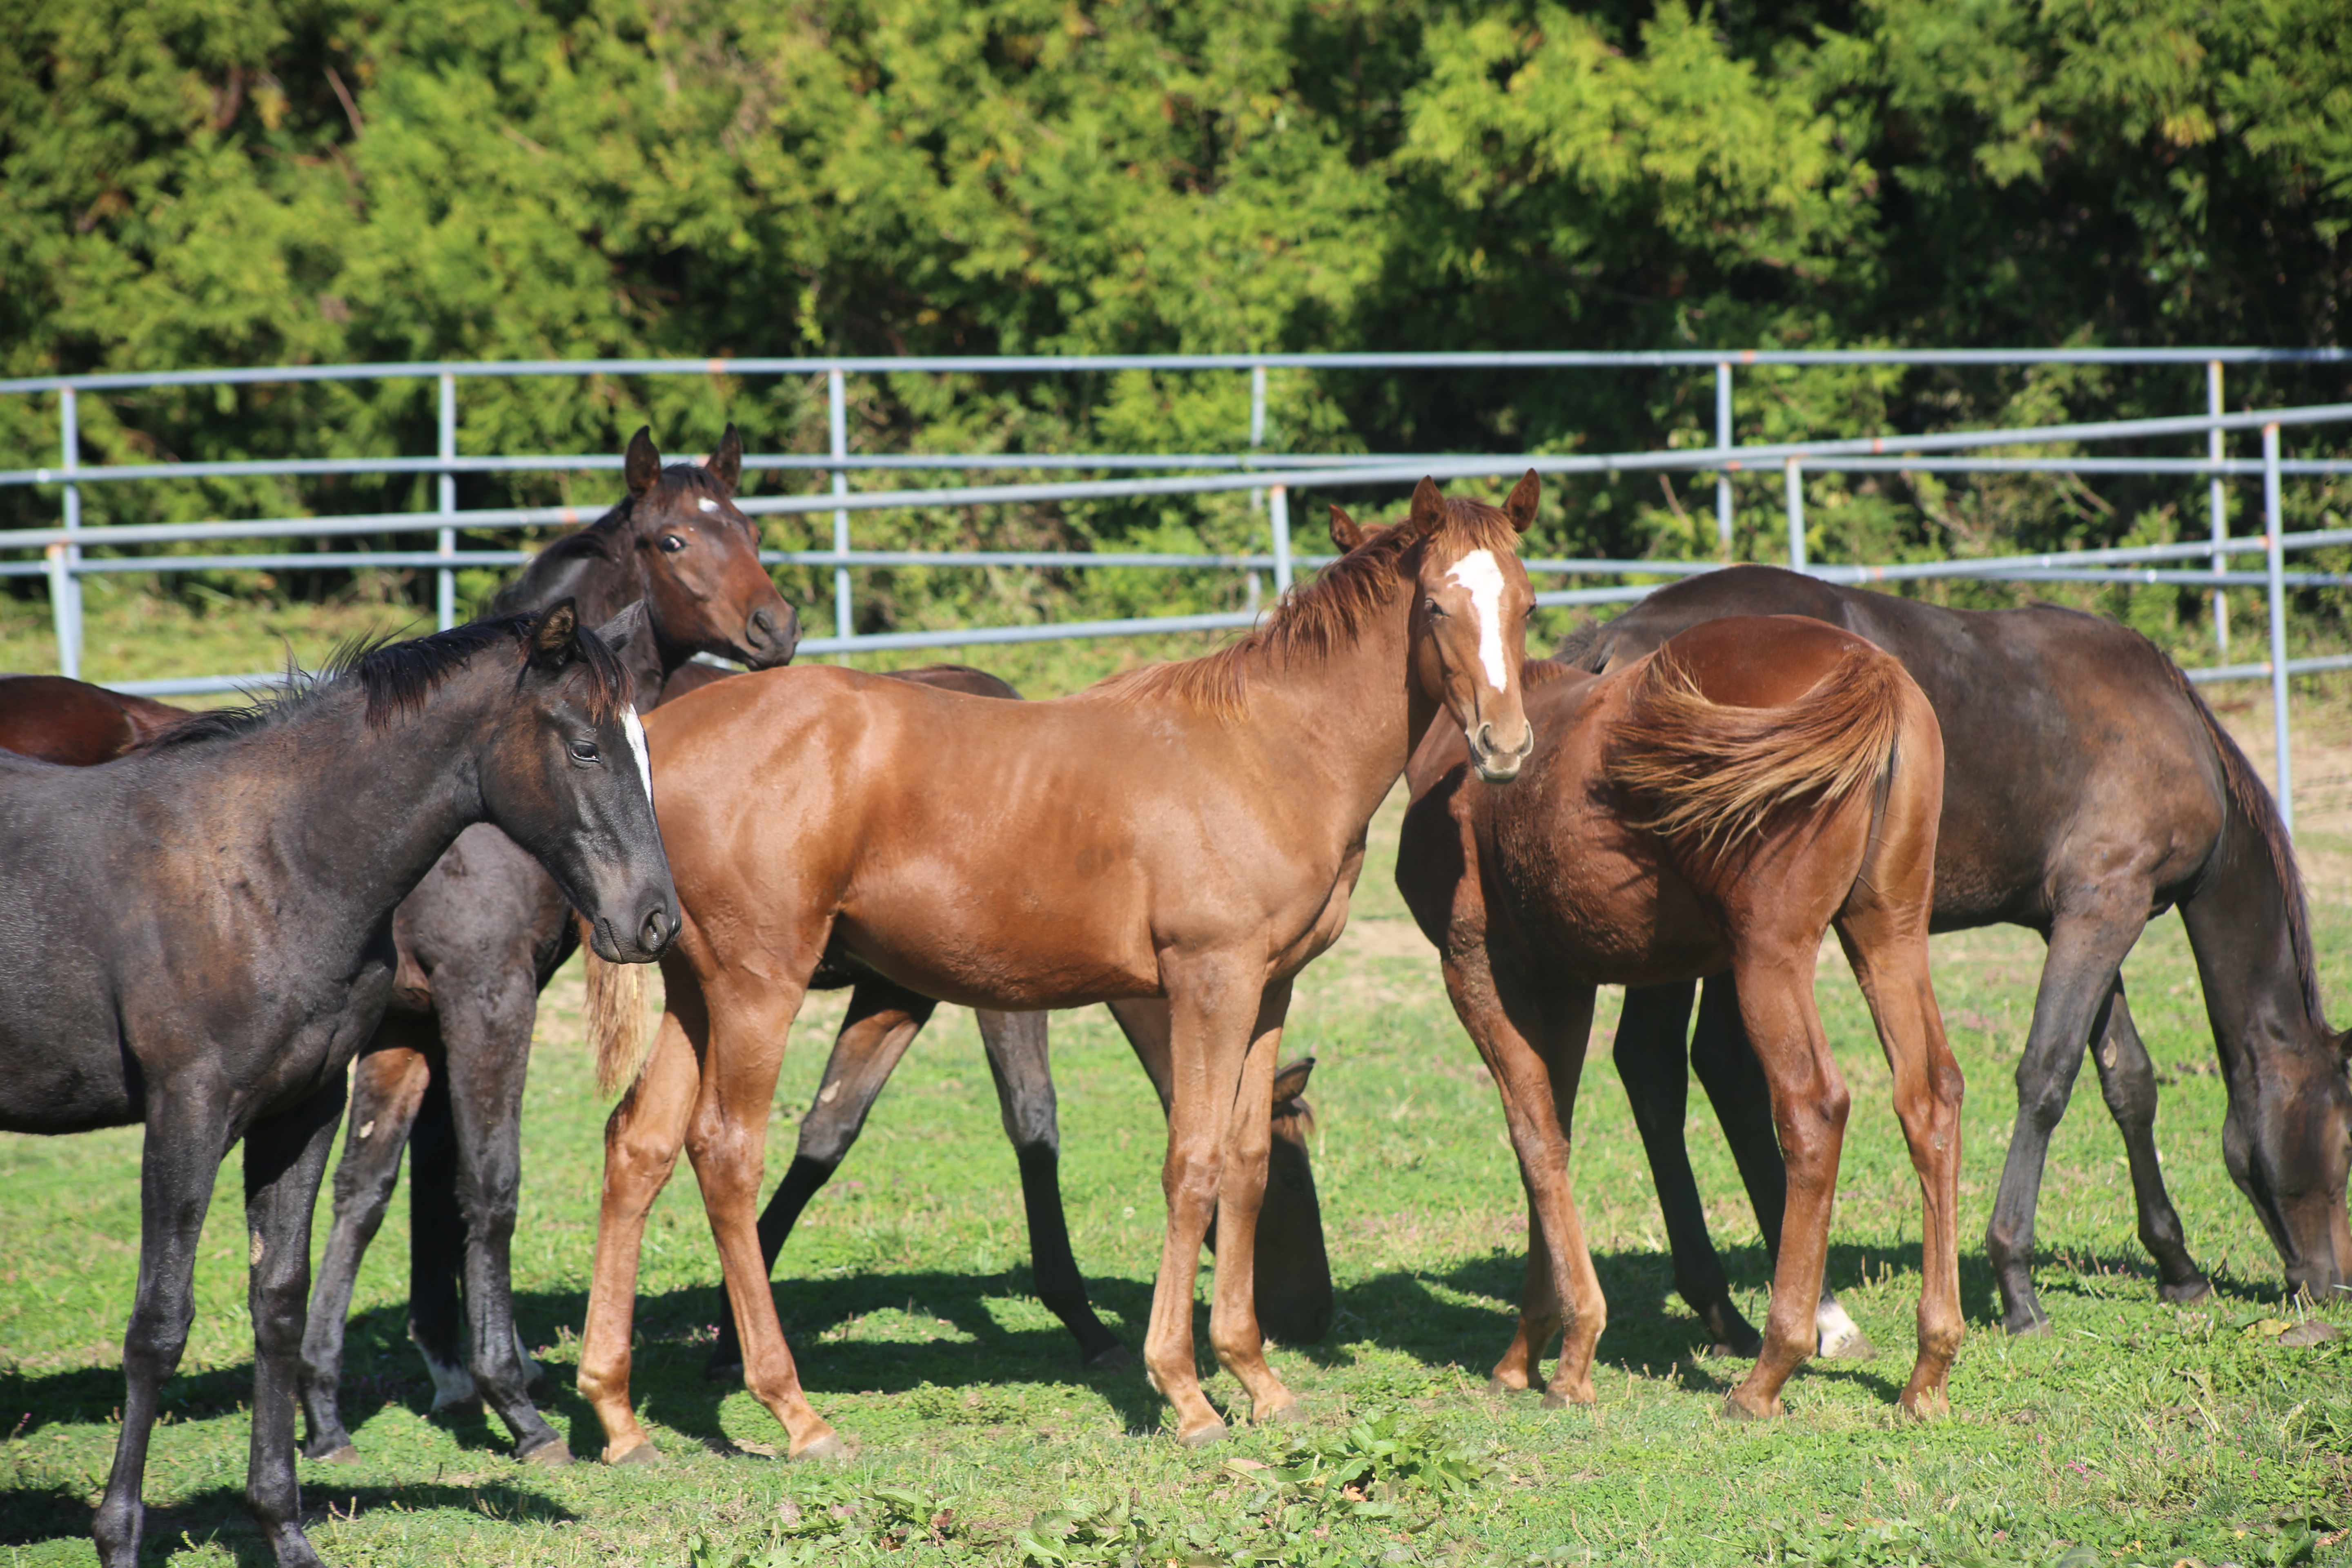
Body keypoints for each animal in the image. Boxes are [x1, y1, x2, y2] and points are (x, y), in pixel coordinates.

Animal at [2, 606, 682, 1568]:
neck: (272, 866)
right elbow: (159, 1325)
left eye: (646, 746)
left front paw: (284, 1526)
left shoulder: (303, 1110)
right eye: (586, 748)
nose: (655, 920)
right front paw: (119, 1537)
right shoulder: (187, 1114)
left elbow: (279, 1303)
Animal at [290, 423, 790, 1467]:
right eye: (674, 541)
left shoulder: (406, 1020)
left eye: (752, 528)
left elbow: (371, 1186)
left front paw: (329, 1407)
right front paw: (511, 1400)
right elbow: (484, 1182)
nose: (778, 628)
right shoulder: (487, 995)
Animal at [576, 470, 1543, 1457]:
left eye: (1528, 606)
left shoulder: (1268, 987)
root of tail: (657, 741)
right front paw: (1185, 1392)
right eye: (1434, 606)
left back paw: (617, 1411)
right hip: (758, 987)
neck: (1268, 749)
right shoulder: (1210, 981)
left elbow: (1240, 1163)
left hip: (697, 992)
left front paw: (1257, 1379)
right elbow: (1192, 1163)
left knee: (639, 1147)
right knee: (726, 1153)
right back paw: (794, 1409)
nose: (1506, 748)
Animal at [1392, 620, 1966, 1429]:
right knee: (1929, 1098)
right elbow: (1554, 1133)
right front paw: (1535, 1344)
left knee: (1812, 1107)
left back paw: (1770, 1369)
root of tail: (1870, 670)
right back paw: (1928, 1370)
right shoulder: (1564, 984)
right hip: (1889, 935)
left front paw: (1554, 1360)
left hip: (1770, 957)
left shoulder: (1476, 965)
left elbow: (1531, 1136)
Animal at [1552, 571, 2342, 1345]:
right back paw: (1811, 1309)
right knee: (1708, 1070)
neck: (2173, 726)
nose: (2332, 1285)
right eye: (2345, 1136)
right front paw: (2018, 1288)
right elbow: (2047, 1077)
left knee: (1662, 1068)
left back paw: (1729, 1305)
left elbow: (2129, 1082)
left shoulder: (2083, 916)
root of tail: (1618, 644)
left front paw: (2177, 1267)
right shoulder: (2105, 906)